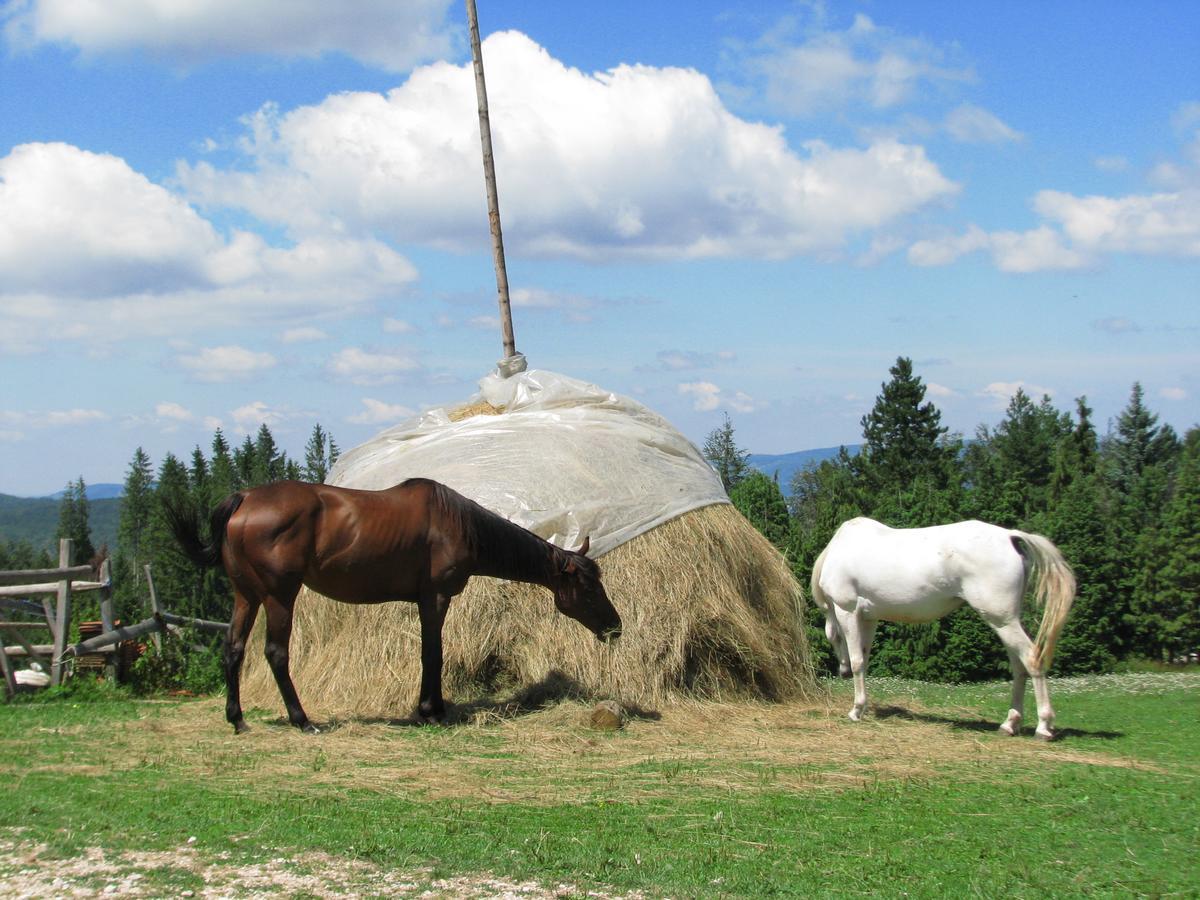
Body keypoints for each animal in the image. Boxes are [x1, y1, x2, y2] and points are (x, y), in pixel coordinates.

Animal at [166, 480, 619, 734]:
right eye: (589, 589)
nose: (615, 626)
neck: (458, 524)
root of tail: (243, 499)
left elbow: (428, 653)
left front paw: (431, 708)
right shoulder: (435, 597)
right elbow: (433, 654)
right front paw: (431, 711)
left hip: (246, 595)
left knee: (234, 650)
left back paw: (237, 719)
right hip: (279, 595)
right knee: (276, 653)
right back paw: (303, 720)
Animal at [811, 518, 1075, 744]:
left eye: (834, 640)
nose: (842, 672)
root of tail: (1010, 536)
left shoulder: (847, 611)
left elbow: (857, 661)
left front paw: (856, 710)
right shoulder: (869, 618)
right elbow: (864, 660)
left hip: (1002, 620)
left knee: (1031, 658)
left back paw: (1043, 727)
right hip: (1006, 622)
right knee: (1019, 667)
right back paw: (1010, 724)